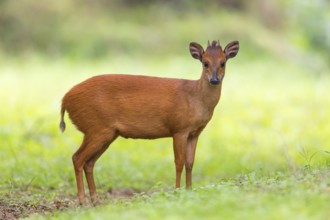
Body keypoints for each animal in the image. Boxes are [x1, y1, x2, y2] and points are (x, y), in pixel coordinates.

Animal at [60, 40, 240, 205]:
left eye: (223, 62)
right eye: (205, 63)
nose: (214, 80)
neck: (195, 98)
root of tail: (65, 99)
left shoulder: (195, 133)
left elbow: (190, 163)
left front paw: (189, 191)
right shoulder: (179, 129)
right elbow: (179, 162)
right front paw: (177, 192)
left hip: (106, 133)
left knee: (89, 162)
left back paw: (96, 200)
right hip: (96, 127)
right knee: (77, 158)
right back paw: (82, 201)